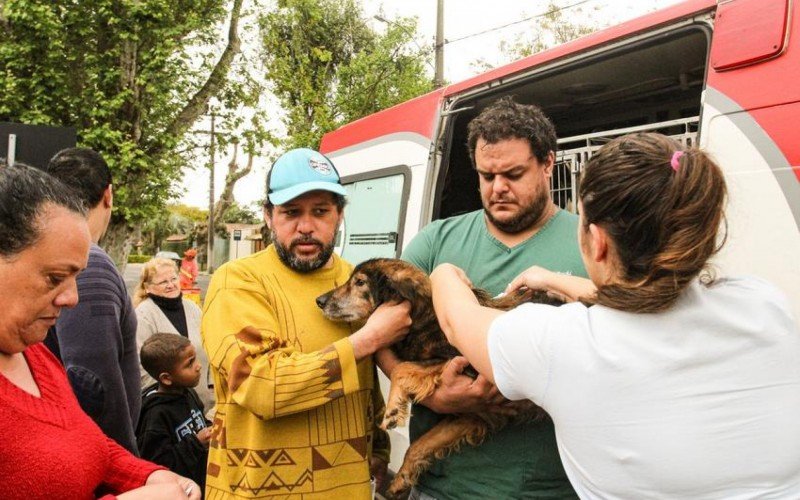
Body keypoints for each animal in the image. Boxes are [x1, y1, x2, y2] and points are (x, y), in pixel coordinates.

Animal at [314, 258, 564, 496]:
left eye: (360, 282)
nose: (320, 300)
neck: (425, 319)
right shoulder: (471, 414)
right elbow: (420, 445)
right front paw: (402, 478)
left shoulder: (464, 364)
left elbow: (402, 368)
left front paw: (394, 407)